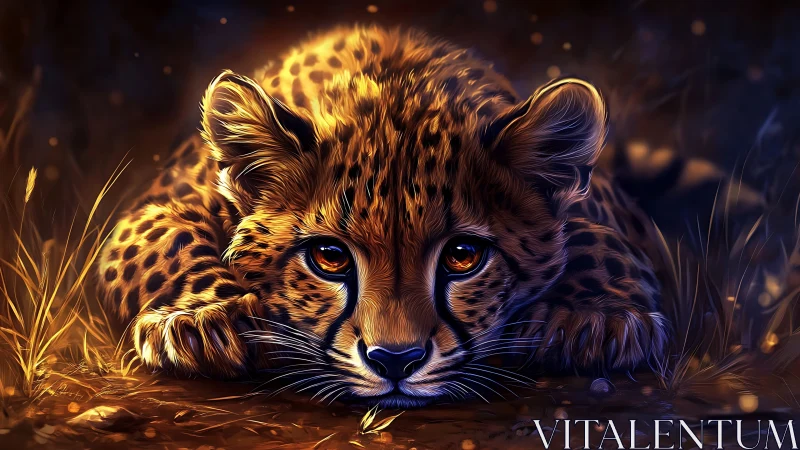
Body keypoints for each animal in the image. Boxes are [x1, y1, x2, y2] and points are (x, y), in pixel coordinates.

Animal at [96, 25, 748, 407]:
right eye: (328, 257)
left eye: (464, 256)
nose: (396, 361)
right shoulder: (163, 203)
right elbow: (166, 237)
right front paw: (200, 318)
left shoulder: (591, 207)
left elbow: (595, 238)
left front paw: (595, 317)